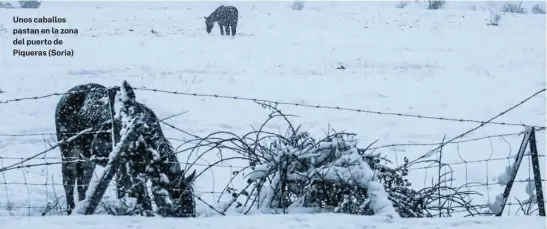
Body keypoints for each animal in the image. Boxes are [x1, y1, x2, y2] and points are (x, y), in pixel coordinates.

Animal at [55, 82, 197, 216]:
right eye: (178, 200)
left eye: (192, 199)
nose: (190, 214)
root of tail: (64, 97)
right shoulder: (122, 167)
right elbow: (127, 191)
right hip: (68, 151)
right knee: (68, 182)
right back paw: (71, 210)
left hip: (87, 158)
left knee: (82, 184)